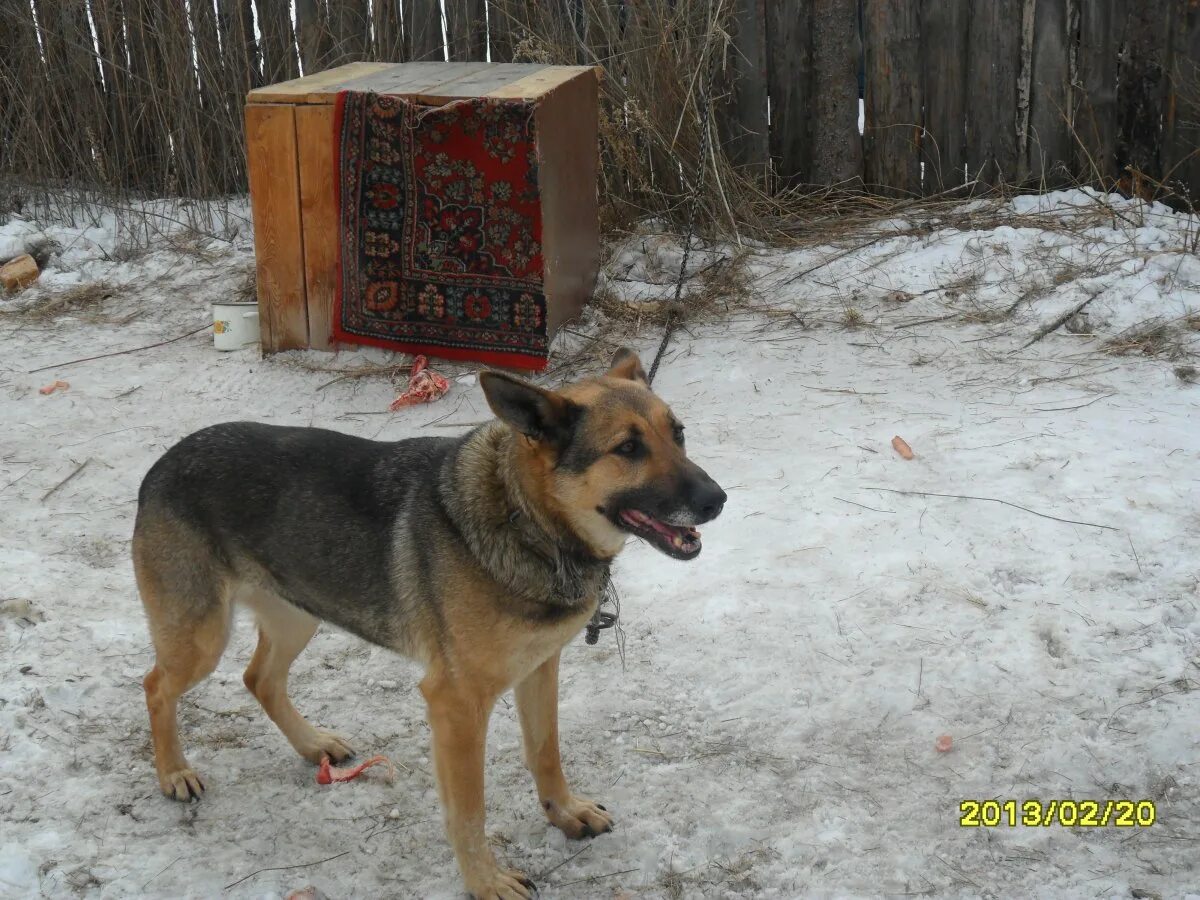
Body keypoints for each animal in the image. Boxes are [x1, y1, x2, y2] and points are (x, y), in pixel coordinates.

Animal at [135, 348, 724, 897]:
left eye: (678, 434)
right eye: (628, 448)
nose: (717, 500)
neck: (528, 518)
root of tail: (164, 462)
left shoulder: (539, 668)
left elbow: (545, 752)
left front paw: (564, 811)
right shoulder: (456, 705)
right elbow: (468, 810)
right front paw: (485, 881)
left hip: (298, 613)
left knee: (260, 678)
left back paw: (311, 744)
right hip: (203, 637)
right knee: (157, 685)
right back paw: (174, 773)